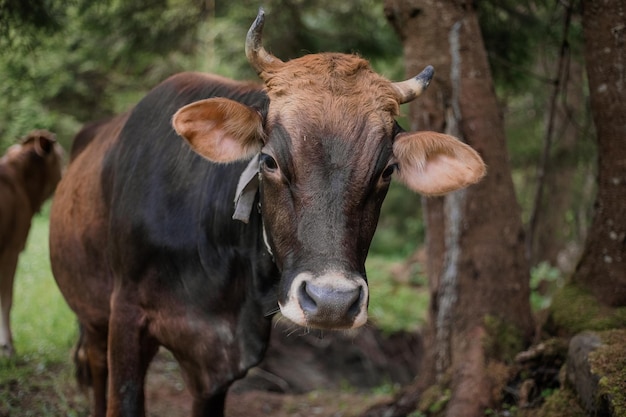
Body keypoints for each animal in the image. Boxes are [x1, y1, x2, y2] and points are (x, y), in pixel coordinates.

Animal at [50, 8, 488, 416]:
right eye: (269, 160)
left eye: (387, 170)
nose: (332, 301)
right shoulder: (126, 319)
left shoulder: (219, 367)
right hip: (93, 318)